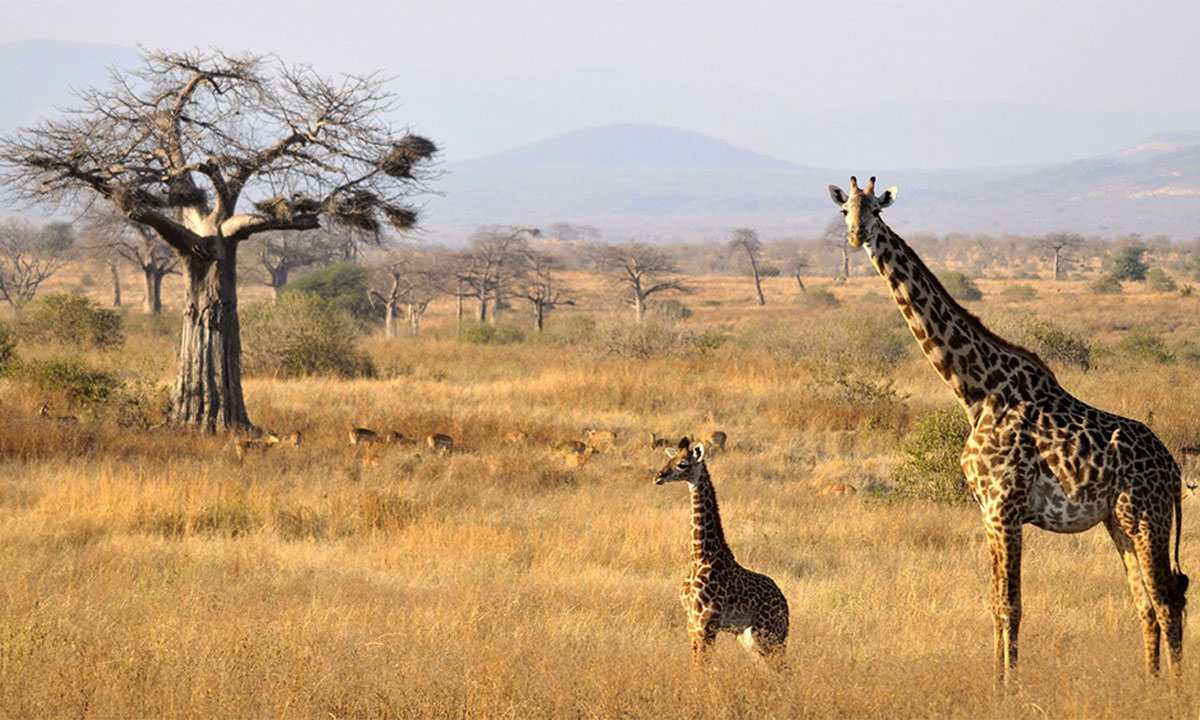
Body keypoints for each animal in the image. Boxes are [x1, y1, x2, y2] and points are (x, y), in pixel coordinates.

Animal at [657, 436, 787, 667]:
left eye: (683, 464)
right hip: (749, 637)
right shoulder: (692, 623)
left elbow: (704, 667)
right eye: (669, 459)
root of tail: (785, 604)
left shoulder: (708, 623)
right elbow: (696, 666)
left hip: (769, 632)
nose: (658, 476)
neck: (700, 556)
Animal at [830, 175, 1185, 686]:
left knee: (1167, 600)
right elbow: (996, 604)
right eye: (845, 211)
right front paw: (998, 680)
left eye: (876, 209)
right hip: (1119, 522)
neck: (977, 393)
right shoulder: (987, 512)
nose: (858, 236)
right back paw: (1150, 682)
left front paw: (1008, 688)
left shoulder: (1005, 508)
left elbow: (1011, 606)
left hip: (1147, 518)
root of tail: (1174, 470)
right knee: (1146, 604)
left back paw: (1173, 690)